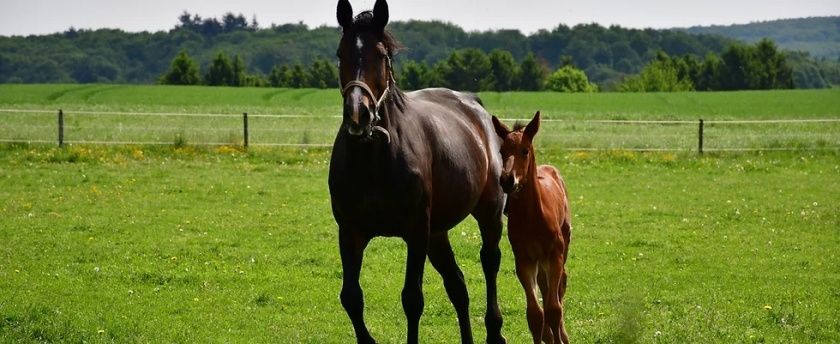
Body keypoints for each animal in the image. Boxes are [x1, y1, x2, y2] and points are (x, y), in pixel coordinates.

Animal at [328, 0, 506, 344]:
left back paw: (494, 329)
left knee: (489, 262)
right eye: (341, 53)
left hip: (487, 213)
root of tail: (474, 106)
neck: (374, 159)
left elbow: (412, 299)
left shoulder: (415, 231)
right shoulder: (351, 231)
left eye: (382, 55)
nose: (358, 114)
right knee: (457, 285)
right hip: (437, 233)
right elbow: (351, 297)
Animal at [492, 111, 572, 342]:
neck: (533, 217)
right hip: (540, 262)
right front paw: (545, 335)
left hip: (562, 248)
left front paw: (559, 338)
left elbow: (554, 309)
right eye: (502, 151)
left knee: (560, 286)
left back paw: (562, 335)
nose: (507, 180)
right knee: (545, 288)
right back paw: (549, 335)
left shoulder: (554, 256)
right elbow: (535, 314)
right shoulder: (524, 261)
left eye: (525, 150)